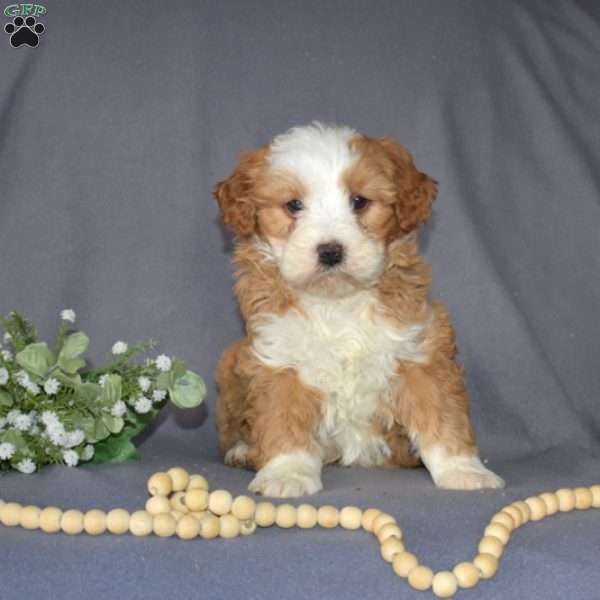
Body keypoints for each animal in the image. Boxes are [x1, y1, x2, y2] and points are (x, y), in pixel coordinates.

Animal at [213, 122, 504, 496]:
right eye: (293, 205)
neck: (337, 301)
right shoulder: (279, 357)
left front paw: (462, 470)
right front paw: (287, 474)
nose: (330, 251)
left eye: (359, 201)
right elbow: (283, 419)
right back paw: (244, 451)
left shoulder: (418, 349)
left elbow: (440, 412)